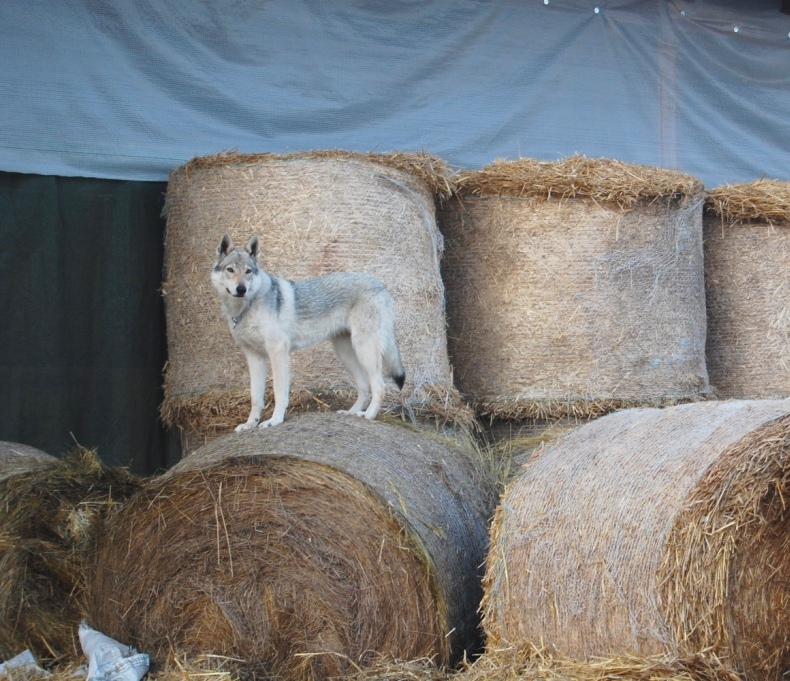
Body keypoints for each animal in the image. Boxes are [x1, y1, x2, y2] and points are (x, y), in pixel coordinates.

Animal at [212, 231, 406, 428]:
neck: (246, 307)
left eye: (248, 271)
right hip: (346, 354)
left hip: (365, 351)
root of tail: (381, 285)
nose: (241, 289)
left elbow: (279, 393)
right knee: (365, 387)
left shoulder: (278, 351)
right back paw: (351, 413)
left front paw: (275, 420)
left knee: (380, 387)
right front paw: (250, 425)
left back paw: (368, 416)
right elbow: (255, 397)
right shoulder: (254, 356)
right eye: (230, 270)